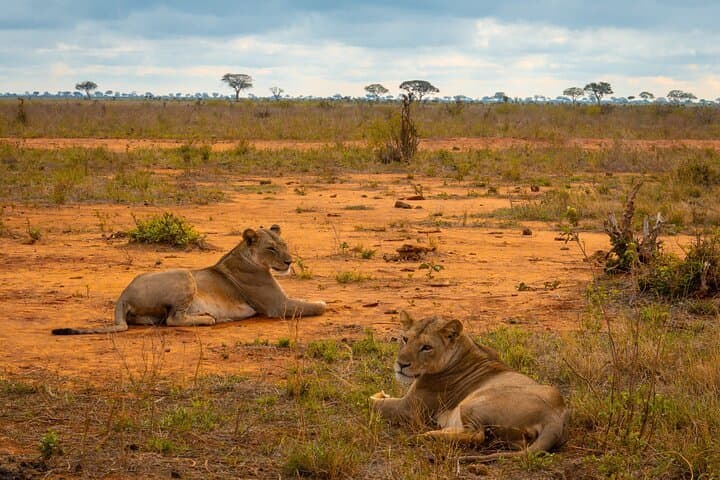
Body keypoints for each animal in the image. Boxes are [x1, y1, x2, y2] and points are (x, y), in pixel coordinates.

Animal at [52, 225, 326, 335]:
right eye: (271, 248)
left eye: (284, 244)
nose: (289, 262)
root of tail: (122, 296)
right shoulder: (278, 306)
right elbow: (315, 306)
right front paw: (324, 303)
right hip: (184, 274)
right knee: (174, 319)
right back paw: (208, 319)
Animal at [370, 311, 569, 462]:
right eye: (405, 339)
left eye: (426, 347)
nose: (401, 364)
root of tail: (553, 416)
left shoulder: (409, 408)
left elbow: (372, 405)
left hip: (474, 402)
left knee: (477, 435)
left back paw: (428, 435)